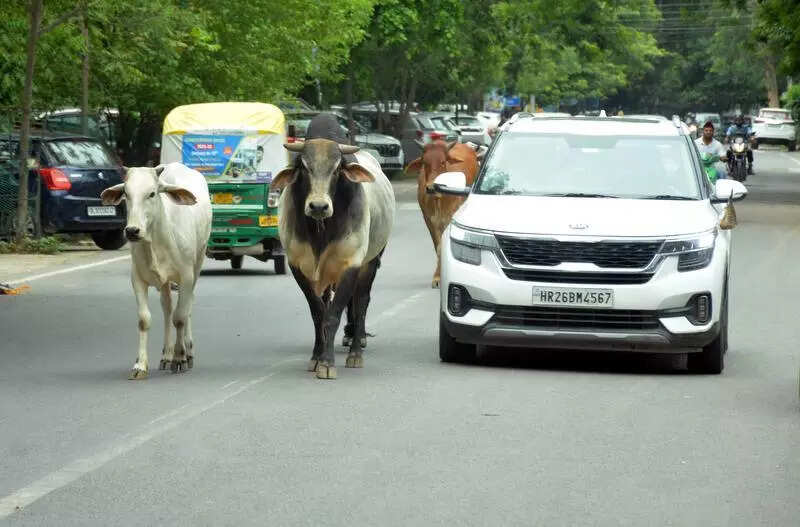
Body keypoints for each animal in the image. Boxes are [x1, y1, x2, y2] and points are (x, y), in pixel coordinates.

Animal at [100, 163, 212, 380]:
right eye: (126, 193)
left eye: (152, 193)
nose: (132, 231)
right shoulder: (137, 279)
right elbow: (145, 320)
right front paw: (140, 365)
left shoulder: (186, 277)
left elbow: (180, 317)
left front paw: (180, 358)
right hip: (165, 282)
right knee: (167, 308)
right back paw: (166, 355)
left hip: (198, 263)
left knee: (186, 307)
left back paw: (188, 352)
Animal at [271, 113, 395, 380]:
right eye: (303, 167)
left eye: (337, 168)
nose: (318, 206)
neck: (321, 230)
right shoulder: (298, 266)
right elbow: (319, 313)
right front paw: (316, 357)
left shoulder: (351, 264)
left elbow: (335, 313)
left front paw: (327, 363)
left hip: (371, 263)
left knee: (361, 303)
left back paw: (356, 351)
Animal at [406, 140, 479, 288]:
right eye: (425, 162)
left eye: (443, 162)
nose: (431, 187)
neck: (438, 200)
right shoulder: (429, 220)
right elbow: (438, 247)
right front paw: (437, 277)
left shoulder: (450, 218)